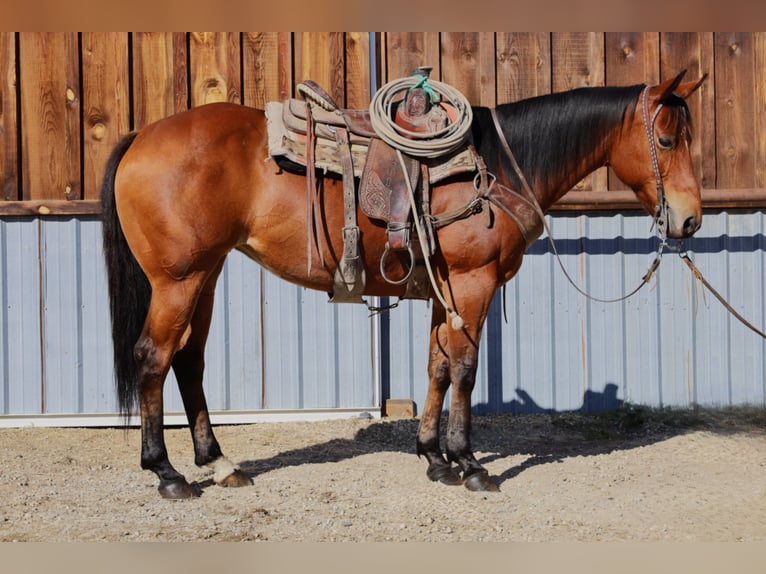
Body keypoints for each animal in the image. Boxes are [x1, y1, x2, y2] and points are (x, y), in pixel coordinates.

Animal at [101, 70, 706, 498]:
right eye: (666, 140)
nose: (690, 220)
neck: (497, 168)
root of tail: (142, 135)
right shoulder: (473, 283)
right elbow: (465, 369)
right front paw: (469, 463)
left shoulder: (446, 290)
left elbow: (437, 365)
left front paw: (434, 457)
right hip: (178, 279)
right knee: (153, 357)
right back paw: (167, 473)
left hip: (206, 273)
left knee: (189, 360)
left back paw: (220, 463)